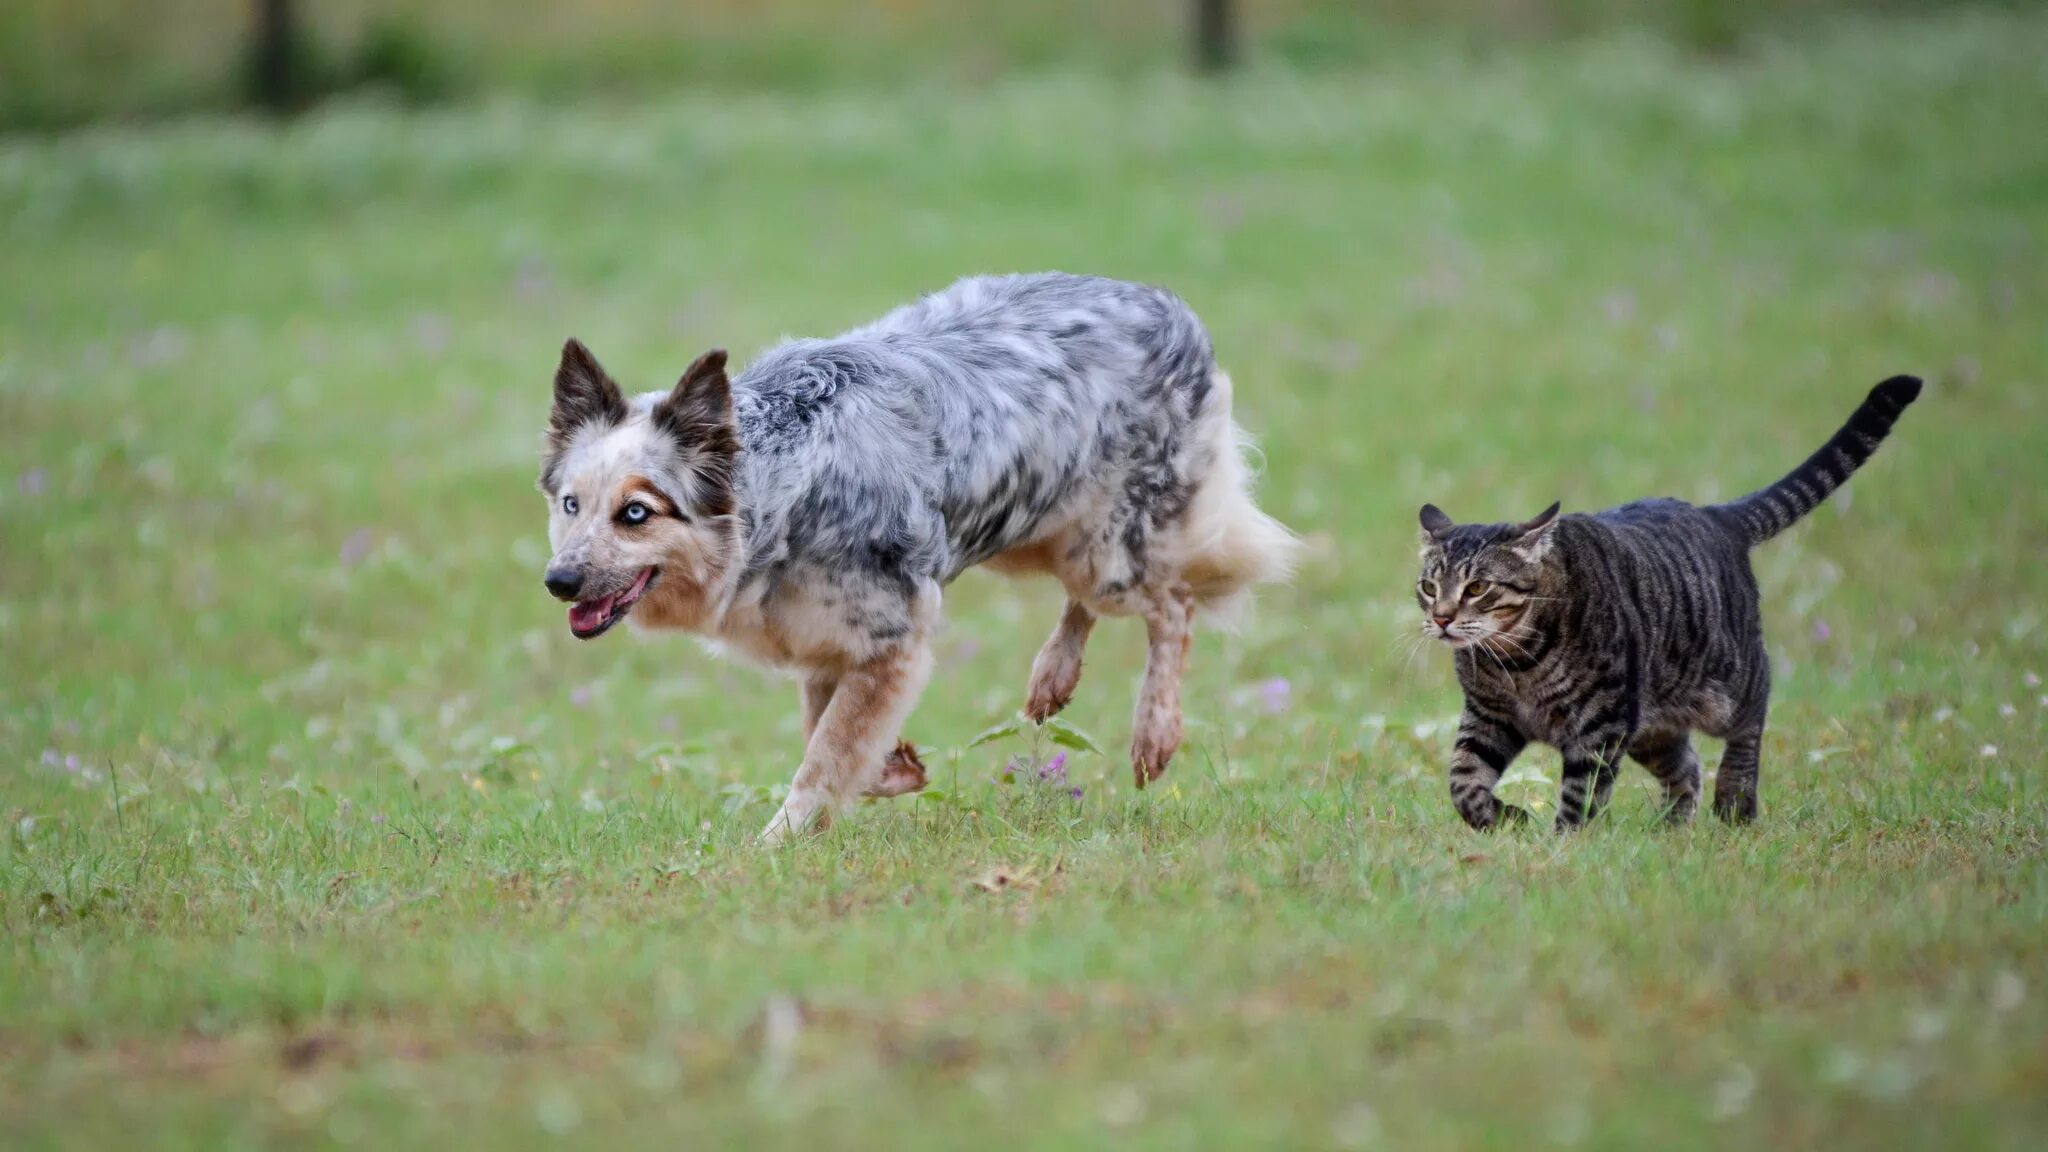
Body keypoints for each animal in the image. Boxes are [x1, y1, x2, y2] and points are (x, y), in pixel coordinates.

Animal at [532, 272, 1294, 840]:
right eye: (571, 504)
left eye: (636, 512)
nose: (559, 581)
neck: (785, 490)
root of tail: (1169, 305)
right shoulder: (828, 642)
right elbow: (830, 734)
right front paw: (897, 767)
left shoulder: (892, 639)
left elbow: (824, 757)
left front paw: (775, 845)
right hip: (1037, 529)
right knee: (1092, 602)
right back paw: (1053, 677)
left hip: (1106, 551)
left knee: (1174, 604)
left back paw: (1154, 732)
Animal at [1417, 373, 1925, 828]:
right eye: (1428, 587)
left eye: (1477, 588)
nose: (1441, 618)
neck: (1516, 663)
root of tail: (1717, 515)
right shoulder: (1488, 718)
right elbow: (1462, 781)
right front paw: (1504, 819)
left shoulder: (1600, 724)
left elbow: (1581, 794)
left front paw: (1564, 842)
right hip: (1651, 724)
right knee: (1687, 768)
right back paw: (1673, 828)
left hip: (1726, 684)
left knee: (1755, 710)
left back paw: (1735, 801)